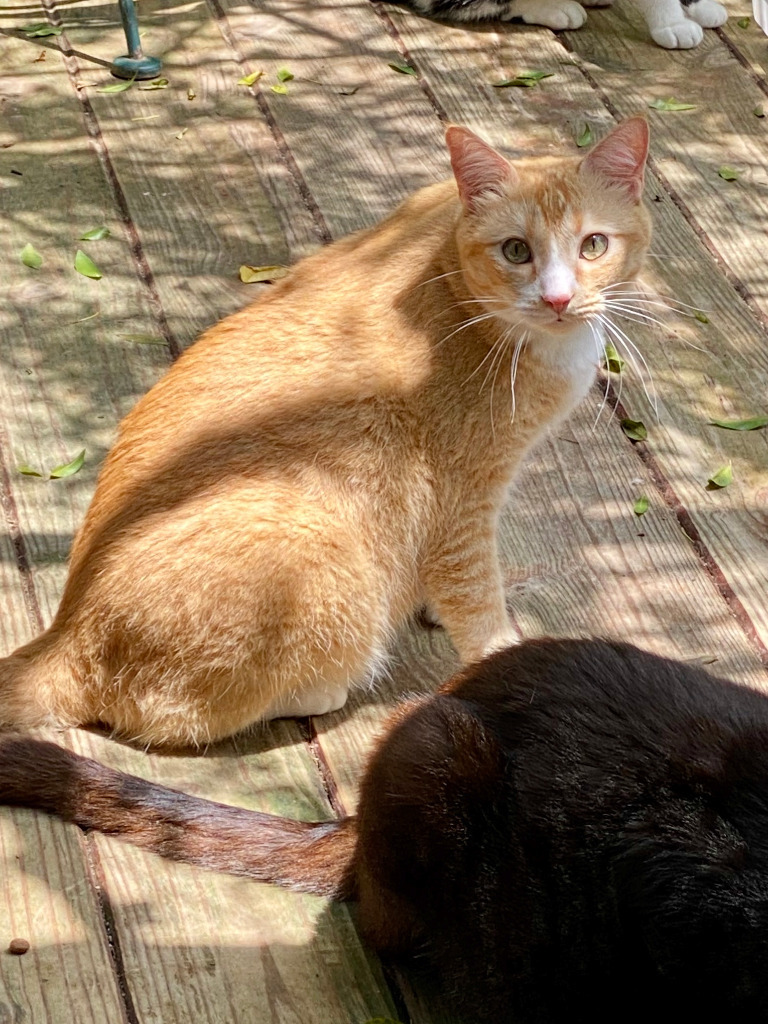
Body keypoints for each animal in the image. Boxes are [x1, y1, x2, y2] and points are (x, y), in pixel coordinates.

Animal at [0, 119, 651, 749]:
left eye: (594, 245)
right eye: (516, 250)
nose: (559, 298)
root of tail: (67, 633)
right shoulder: (461, 503)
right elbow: (476, 600)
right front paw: (503, 658)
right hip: (316, 545)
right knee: (173, 713)